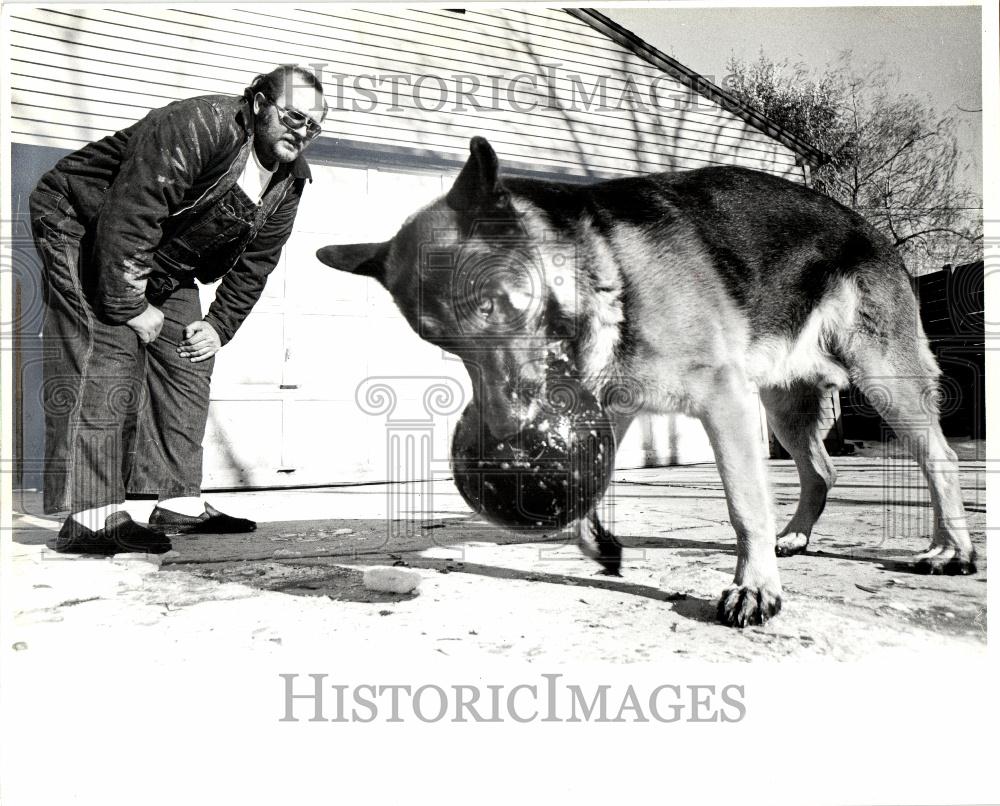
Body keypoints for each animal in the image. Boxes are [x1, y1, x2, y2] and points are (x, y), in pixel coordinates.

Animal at [320, 137, 976, 632]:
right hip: (784, 405)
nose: (504, 431)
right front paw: (602, 546)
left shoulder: (724, 400)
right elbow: (584, 500)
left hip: (882, 378)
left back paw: (952, 550)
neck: (603, 271)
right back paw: (796, 537)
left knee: (939, 458)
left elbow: (745, 505)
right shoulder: (613, 407)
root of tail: (866, 224)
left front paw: (755, 588)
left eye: (492, 303)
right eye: (441, 341)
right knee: (823, 470)